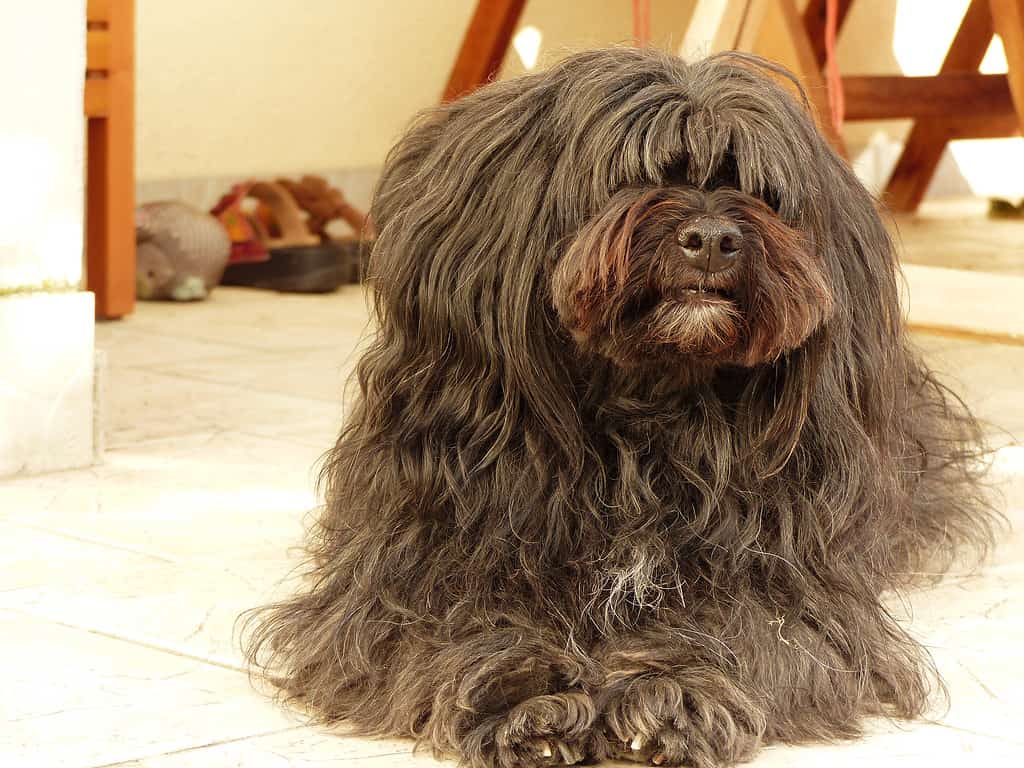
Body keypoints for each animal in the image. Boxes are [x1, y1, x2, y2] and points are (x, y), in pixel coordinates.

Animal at [243, 49, 995, 768]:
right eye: (632, 175)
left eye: (757, 189)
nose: (713, 238)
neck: (647, 402)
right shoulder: (421, 561)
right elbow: (455, 621)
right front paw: (525, 698)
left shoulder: (786, 575)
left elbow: (744, 626)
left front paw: (672, 692)